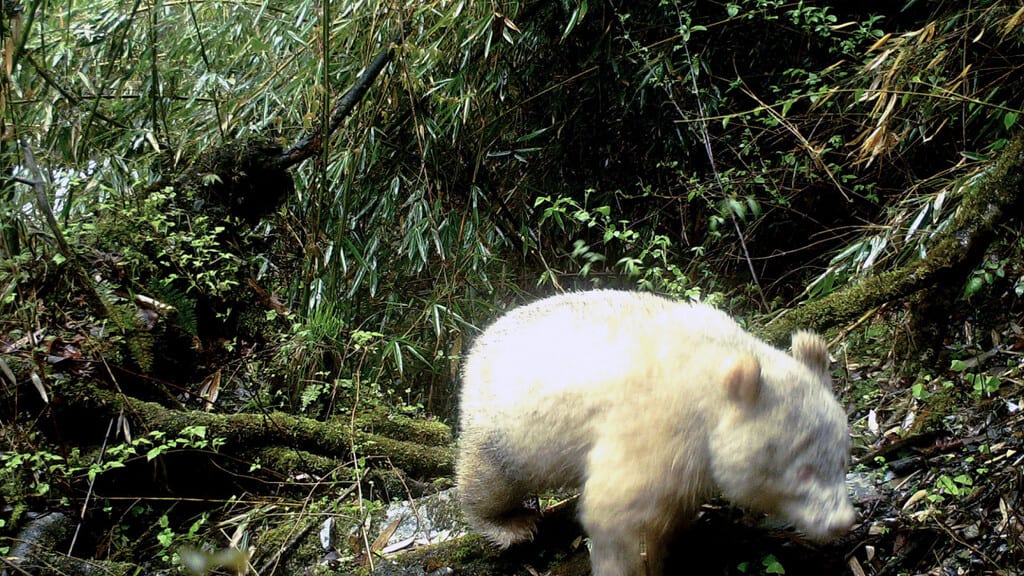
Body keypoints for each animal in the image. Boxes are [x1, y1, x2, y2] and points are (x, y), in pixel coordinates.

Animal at [456, 289, 856, 573]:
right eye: (803, 470)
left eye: (843, 461)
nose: (842, 522)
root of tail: (478, 343)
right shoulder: (657, 423)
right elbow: (618, 512)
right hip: (504, 423)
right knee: (491, 478)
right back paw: (509, 524)